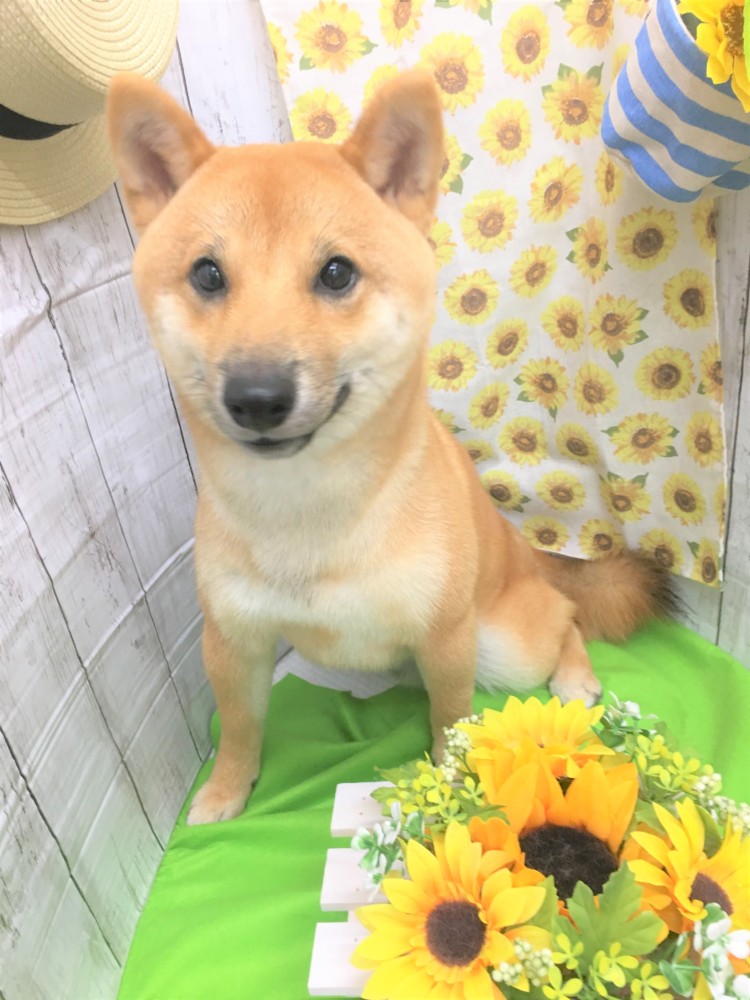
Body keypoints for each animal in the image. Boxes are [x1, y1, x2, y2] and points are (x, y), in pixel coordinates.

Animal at [106, 70, 672, 825]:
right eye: (207, 274)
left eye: (336, 273)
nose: (257, 395)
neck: (309, 512)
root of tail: (525, 554)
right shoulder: (234, 639)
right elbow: (241, 727)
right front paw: (227, 791)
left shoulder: (447, 636)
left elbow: (450, 721)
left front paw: (450, 789)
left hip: (505, 642)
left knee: (567, 614)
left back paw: (575, 673)